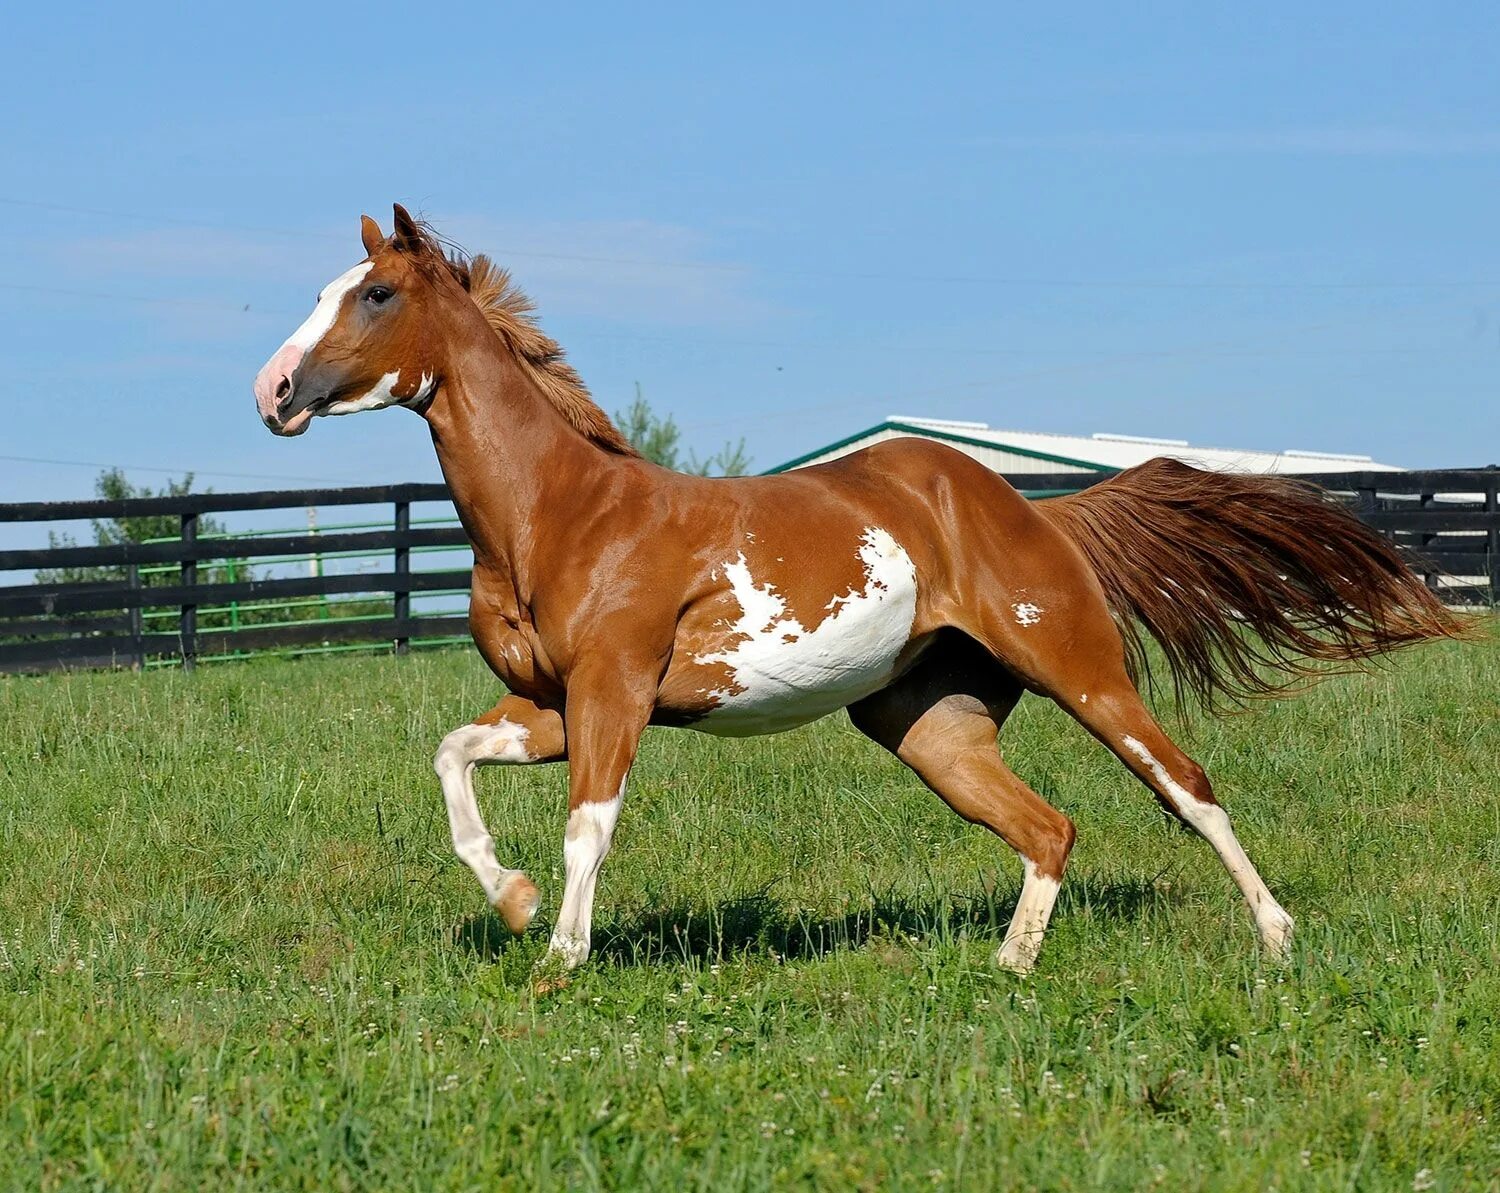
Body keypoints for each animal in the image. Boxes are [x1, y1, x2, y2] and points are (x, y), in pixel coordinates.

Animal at [252, 202, 1458, 972]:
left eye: (376, 292)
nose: (273, 391)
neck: (562, 513)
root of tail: (1034, 508)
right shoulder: (547, 703)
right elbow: (452, 758)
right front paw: (511, 901)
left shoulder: (614, 691)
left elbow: (587, 828)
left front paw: (558, 956)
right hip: (929, 722)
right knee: (1049, 827)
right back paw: (1009, 970)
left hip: (1077, 666)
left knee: (1185, 785)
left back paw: (1277, 938)